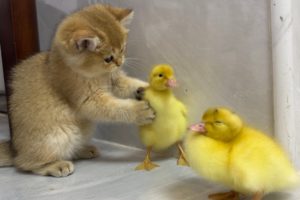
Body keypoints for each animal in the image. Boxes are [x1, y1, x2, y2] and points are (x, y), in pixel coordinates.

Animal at [0, 4, 155, 177]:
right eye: (108, 58)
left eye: (123, 49)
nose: (120, 62)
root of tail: (15, 148)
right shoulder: (89, 101)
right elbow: (116, 108)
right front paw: (140, 111)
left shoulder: (115, 81)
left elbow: (130, 84)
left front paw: (148, 87)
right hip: (60, 136)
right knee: (24, 164)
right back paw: (56, 165)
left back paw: (84, 150)